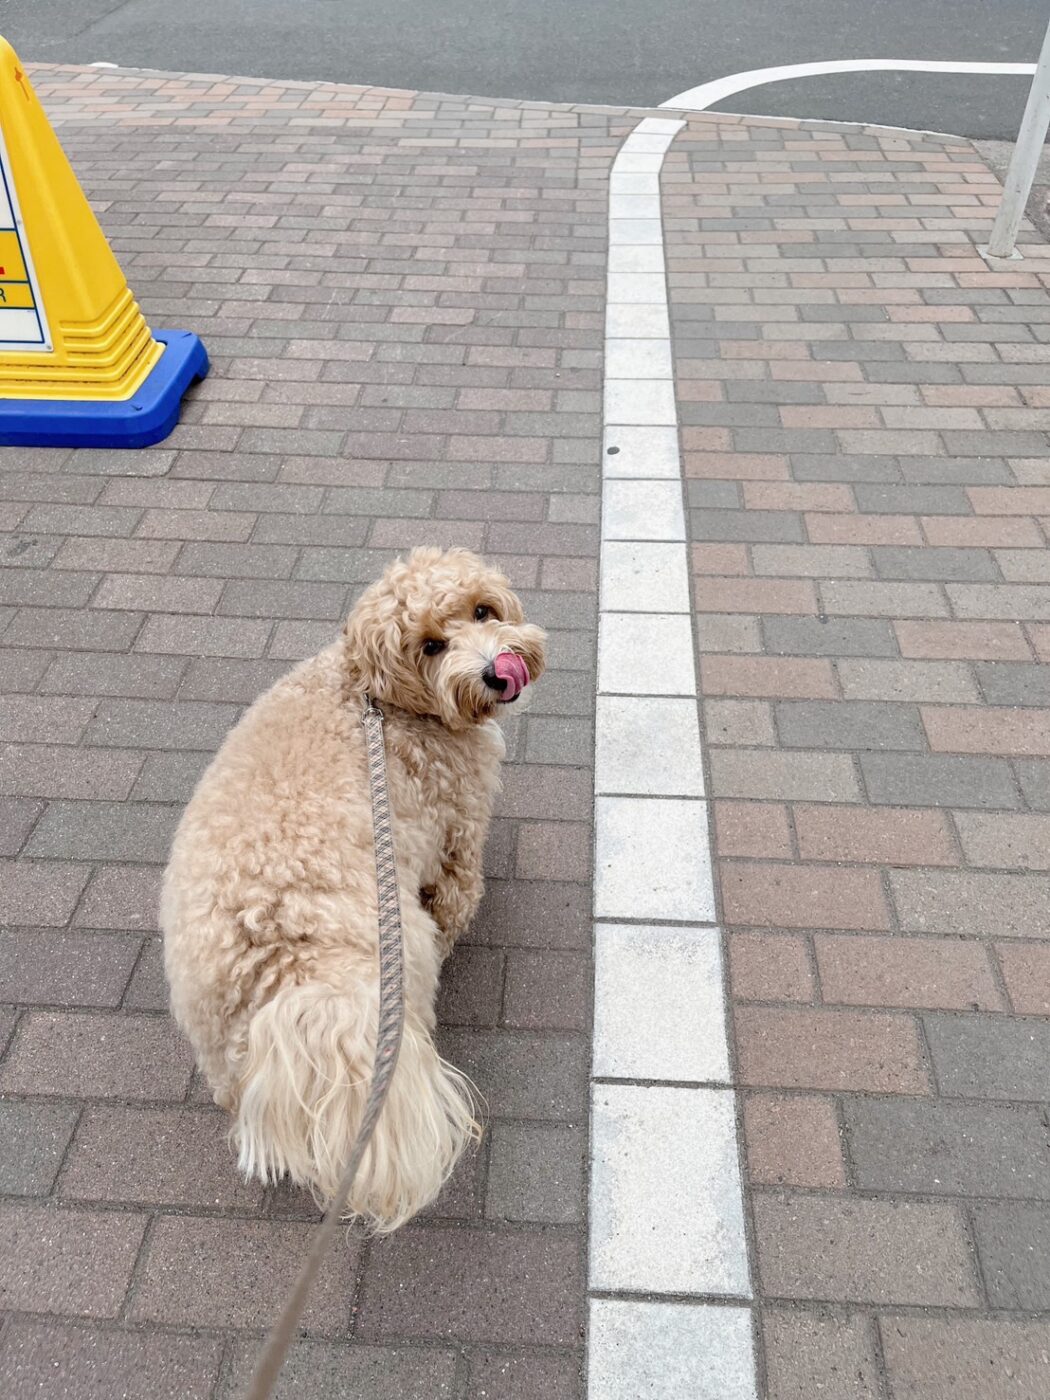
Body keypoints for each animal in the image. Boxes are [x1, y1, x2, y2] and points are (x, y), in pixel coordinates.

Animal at [161, 548, 546, 1231]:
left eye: (483, 611)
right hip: (401, 959)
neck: (378, 699)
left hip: (223, 1040)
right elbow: (458, 891)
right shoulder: (458, 822)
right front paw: (461, 920)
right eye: (431, 646)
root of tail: (286, 965)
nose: (496, 673)